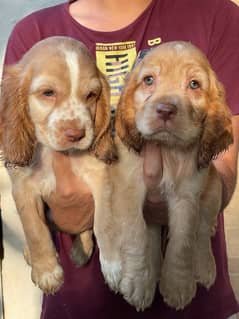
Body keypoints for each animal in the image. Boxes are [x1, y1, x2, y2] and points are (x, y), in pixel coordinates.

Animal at [0, 36, 117, 294]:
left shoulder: (101, 181)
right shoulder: (23, 189)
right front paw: (47, 272)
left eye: (91, 95)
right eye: (48, 93)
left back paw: (81, 251)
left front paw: (115, 266)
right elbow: (35, 230)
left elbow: (105, 224)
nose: (76, 134)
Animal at [113, 41, 233, 312]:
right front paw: (138, 282)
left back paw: (204, 267)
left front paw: (178, 286)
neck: (167, 150)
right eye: (148, 80)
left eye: (194, 85)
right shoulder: (130, 188)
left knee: (202, 232)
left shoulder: (187, 195)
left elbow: (183, 241)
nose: (165, 110)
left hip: (213, 189)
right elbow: (136, 234)